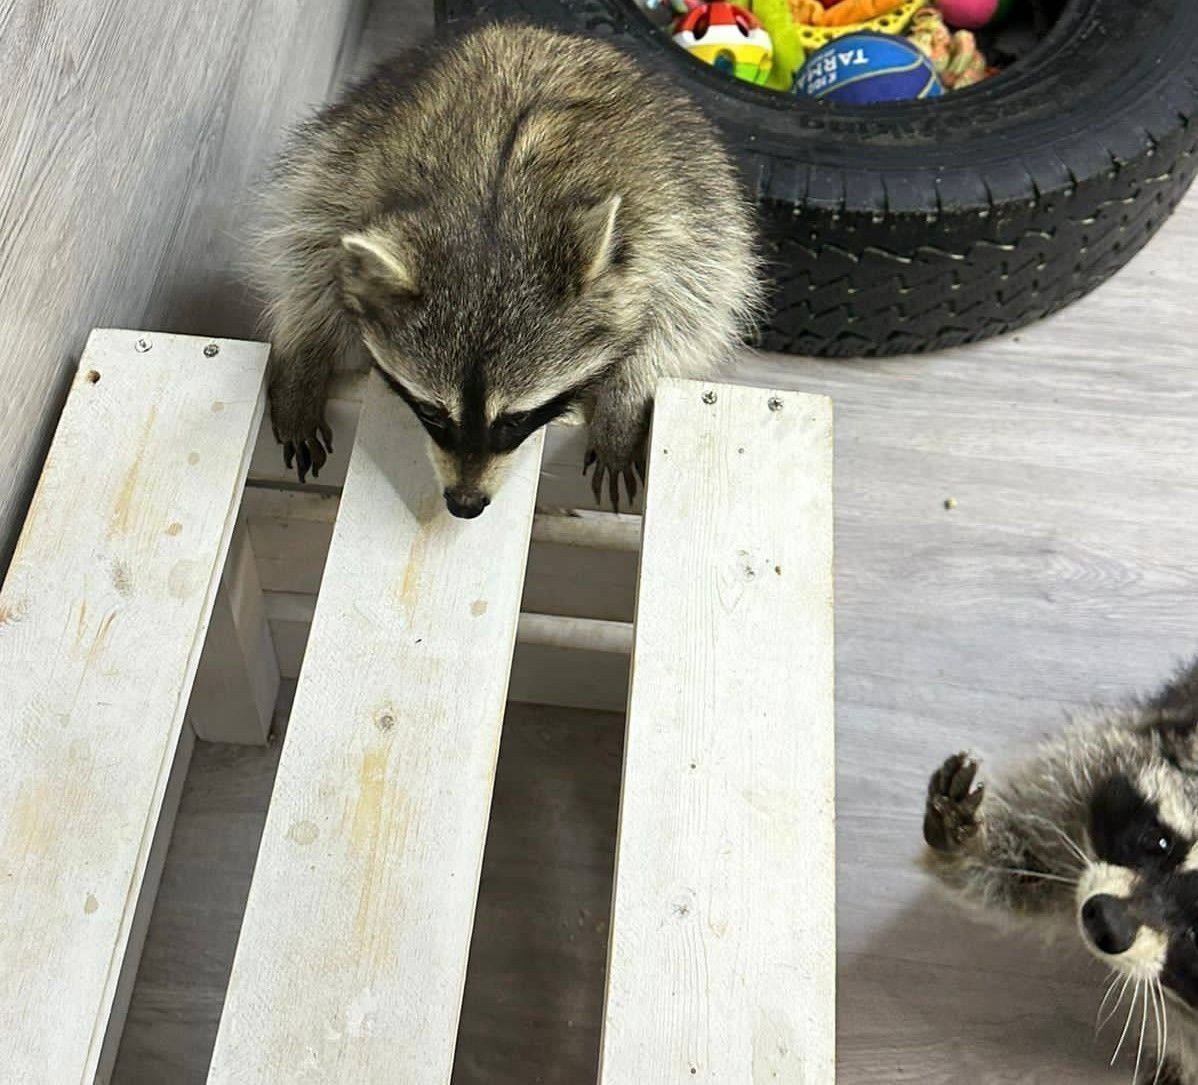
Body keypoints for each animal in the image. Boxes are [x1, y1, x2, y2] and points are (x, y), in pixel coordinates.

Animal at [255, 21, 757, 517]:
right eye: (432, 412)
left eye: (517, 418)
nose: (465, 504)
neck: (496, 204)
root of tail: (551, 35)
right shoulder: (348, 182)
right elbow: (308, 257)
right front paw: (303, 357)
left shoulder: (676, 225)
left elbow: (684, 319)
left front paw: (624, 401)